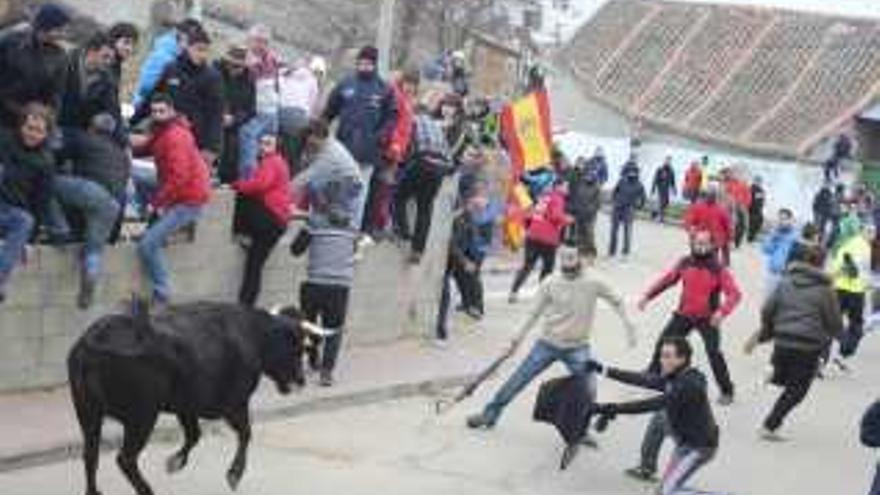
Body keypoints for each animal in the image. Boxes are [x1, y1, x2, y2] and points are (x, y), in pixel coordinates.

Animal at [68, 300, 324, 495]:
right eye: (295, 347)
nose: (301, 380)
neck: (253, 335)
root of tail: (93, 341)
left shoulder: (187, 406)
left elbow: (195, 434)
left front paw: (174, 462)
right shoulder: (235, 404)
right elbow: (245, 433)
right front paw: (234, 475)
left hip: (88, 413)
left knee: (90, 454)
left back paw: (94, 492)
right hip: (142, 417)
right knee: (125, 459)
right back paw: (147, 491)